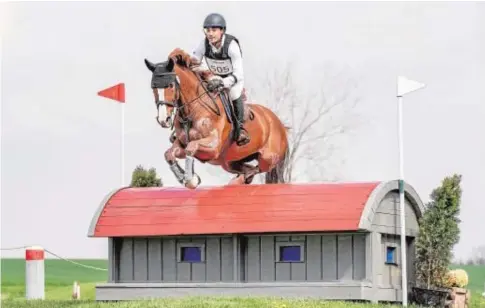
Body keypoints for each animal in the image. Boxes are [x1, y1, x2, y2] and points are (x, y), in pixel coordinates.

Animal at [143, 47, 288, 189]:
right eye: (153, 87)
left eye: (170, 85)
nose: (163, 120)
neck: (194, 109)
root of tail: (279, 124)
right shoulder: (181, 145)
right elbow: (169, 154)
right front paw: (188, 177)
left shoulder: (213, 147)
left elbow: (191, 146)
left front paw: (191, 180)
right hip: (230, 162)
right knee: (248, 168)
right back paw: (239, 180)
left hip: (268, 157)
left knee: (259, 168)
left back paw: (237, 181)